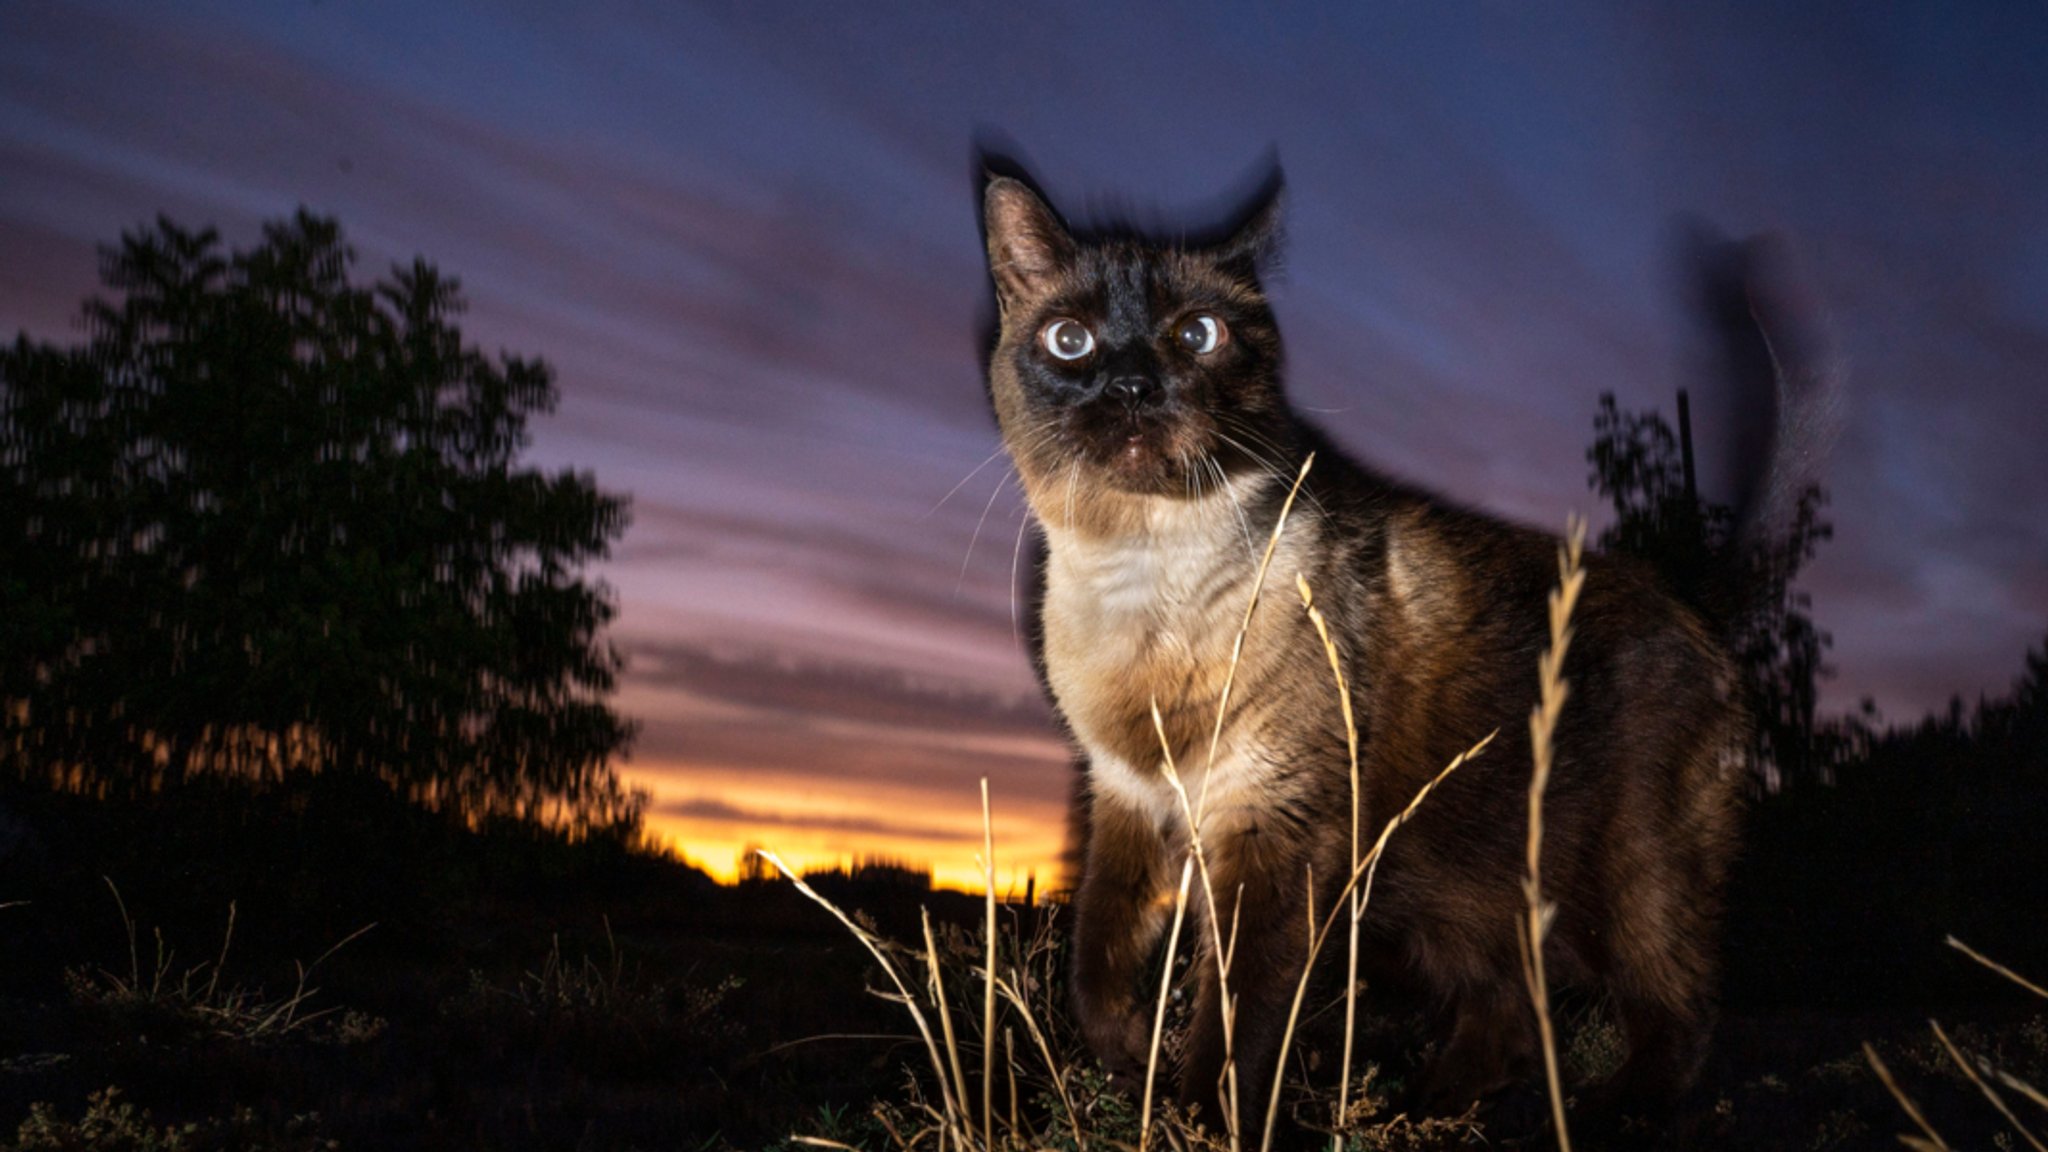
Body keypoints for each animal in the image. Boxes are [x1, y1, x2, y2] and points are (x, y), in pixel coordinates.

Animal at [974, 166, 1826, 1123]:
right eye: (1071, 341)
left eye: (1197, 335)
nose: (1128, 387)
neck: (1141, 575)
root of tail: (1689, 594)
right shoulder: (1127, 797)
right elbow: (1095, 965)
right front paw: (1127, 1063)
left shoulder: (1270, 825)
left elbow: (1235, 1026)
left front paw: (1196, 1120)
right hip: (1454, 888)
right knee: (1506, 1010)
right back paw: (1431, 1105)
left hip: (1624, 880)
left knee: (1676, 1015)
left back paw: (1593, 1113)